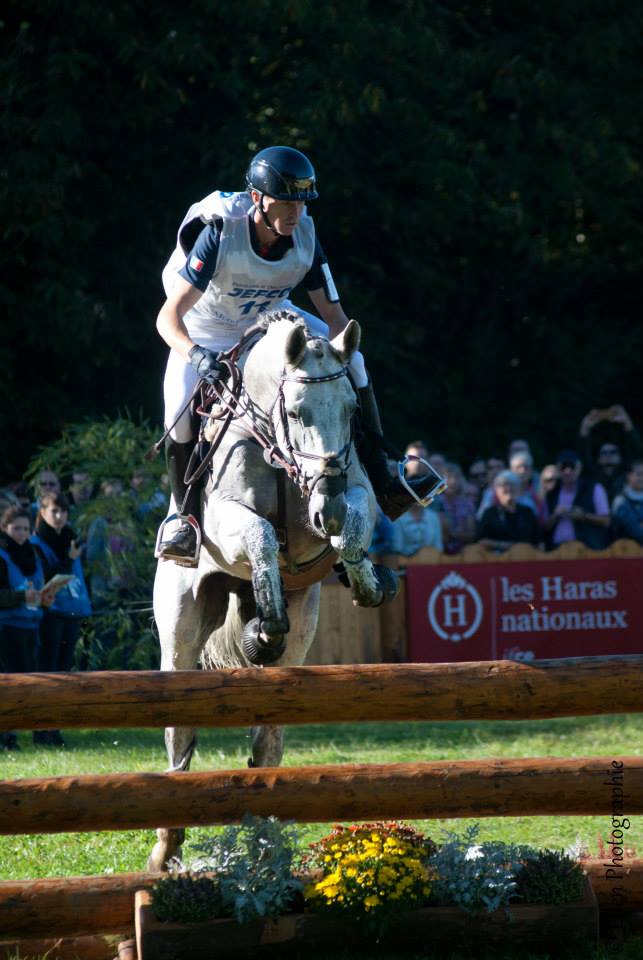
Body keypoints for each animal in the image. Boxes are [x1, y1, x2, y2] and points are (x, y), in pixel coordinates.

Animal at [149, 310, 398, 872]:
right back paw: (166, 847)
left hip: (303, 631)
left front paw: (366, 578)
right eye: (297, 411)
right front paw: (268, 616)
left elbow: (353, 525)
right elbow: (261, 532)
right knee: (180, 731)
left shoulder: (351, 497)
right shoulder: (225, 522)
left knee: (268, 737)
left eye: (353, 410)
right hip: (180, 632)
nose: (326, 503)